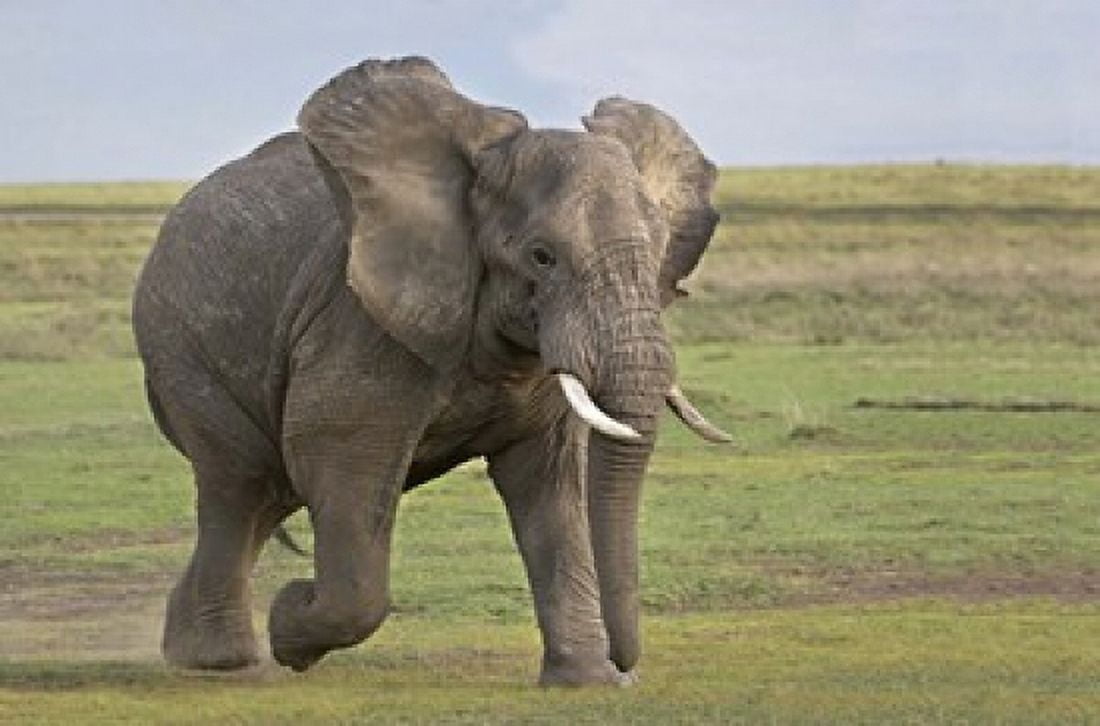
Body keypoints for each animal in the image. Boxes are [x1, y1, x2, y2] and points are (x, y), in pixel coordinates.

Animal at [132, 56, 729, 686]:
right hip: (181, 348)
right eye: (542, 257)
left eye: (660, 251)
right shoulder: (360, 323)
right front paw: (290, 622)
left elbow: (548, 481)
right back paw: (221, 659)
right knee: (239, 483)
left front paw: (585, 683)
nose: (626, 666)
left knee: (269, 492)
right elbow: (338, 457)